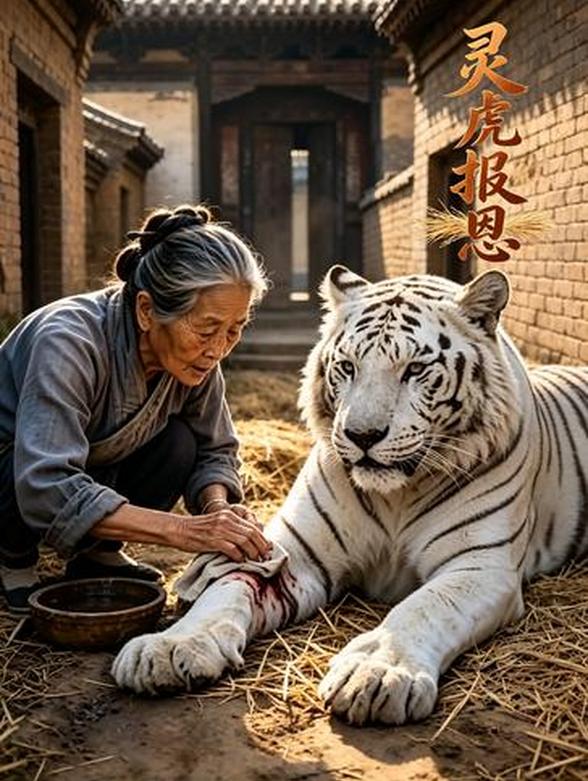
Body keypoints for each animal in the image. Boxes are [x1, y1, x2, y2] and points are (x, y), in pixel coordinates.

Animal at [112, 265, 588, 725]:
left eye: (415, 370)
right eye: (348, 366)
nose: (362, 436)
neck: (397, 496)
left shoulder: (480, 566)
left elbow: (425, 606)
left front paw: (377, 673)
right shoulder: (295, 554)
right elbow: (225, 590)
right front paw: (170, 646)